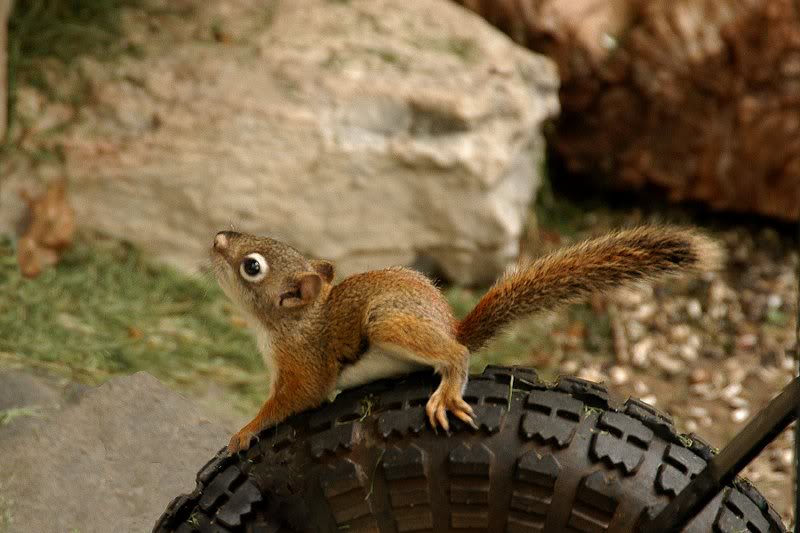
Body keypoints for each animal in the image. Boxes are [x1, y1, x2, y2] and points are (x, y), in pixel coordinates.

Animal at [211, 226, 723, 453]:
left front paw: (244, 431)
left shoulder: (305, 368)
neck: (287, 325)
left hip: (387, 324)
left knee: (456, 354)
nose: (217, 239)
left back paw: (448, 386)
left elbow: (292, 402)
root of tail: (449, 325)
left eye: (252, 266)